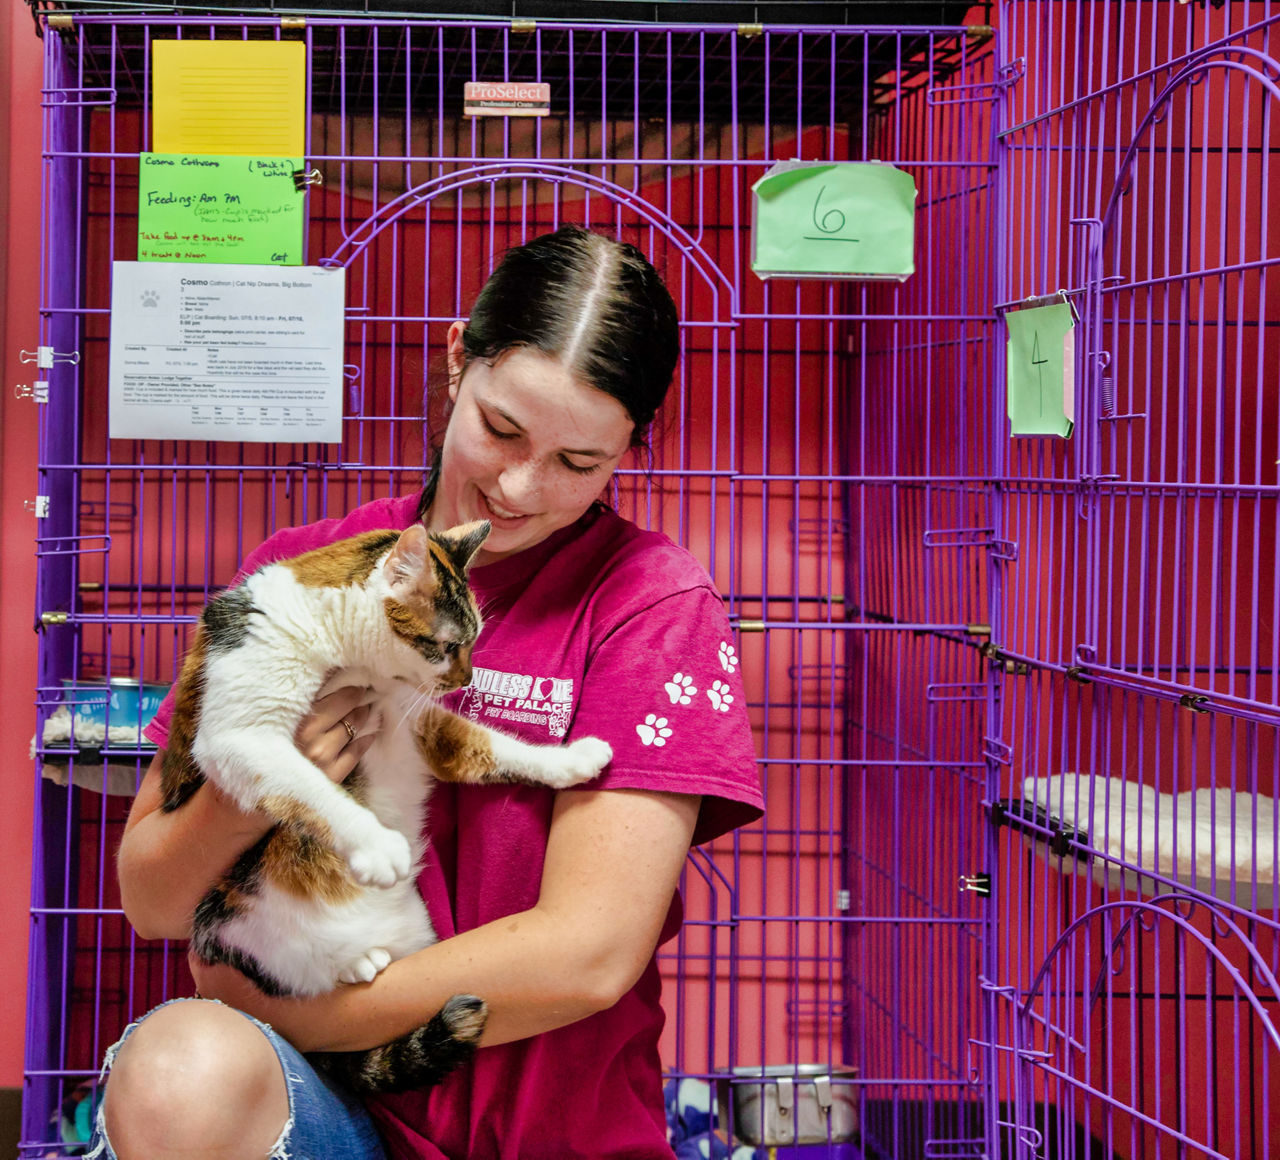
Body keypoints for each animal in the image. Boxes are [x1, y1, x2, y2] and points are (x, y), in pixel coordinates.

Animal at [160, 519, 614, 1090]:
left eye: (475, 644)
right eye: (449, 645)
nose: (465, 679)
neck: (347, 657)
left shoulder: (416, 720)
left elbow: (492, 747)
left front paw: (572, 760)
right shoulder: (241, 733)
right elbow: (312, 788)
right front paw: (378, 847)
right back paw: (357, 963)